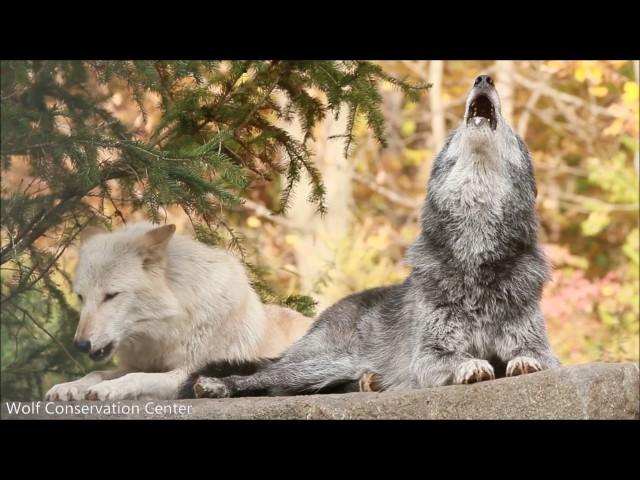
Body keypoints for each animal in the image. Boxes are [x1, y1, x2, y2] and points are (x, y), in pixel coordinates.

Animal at [43, 221, 314, 402]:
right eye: (81, 297)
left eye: (111, 295)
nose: (80, 344)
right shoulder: (138, 363)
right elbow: (96, 372)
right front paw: (70, 387)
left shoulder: (187, 373)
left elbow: (137, 377)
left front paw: (108, 389)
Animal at [189, 74, 560, 398]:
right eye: (453, 135)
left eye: (512, 132)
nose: (484, 78)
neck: (475, 253)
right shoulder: (429, 354)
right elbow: (457, 358)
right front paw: (471, 366)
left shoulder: (541, 347)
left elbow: (536, 356)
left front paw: (524, 362)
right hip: (325, 362)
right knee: (262, 378)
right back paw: (215, 386)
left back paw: (369, 383)